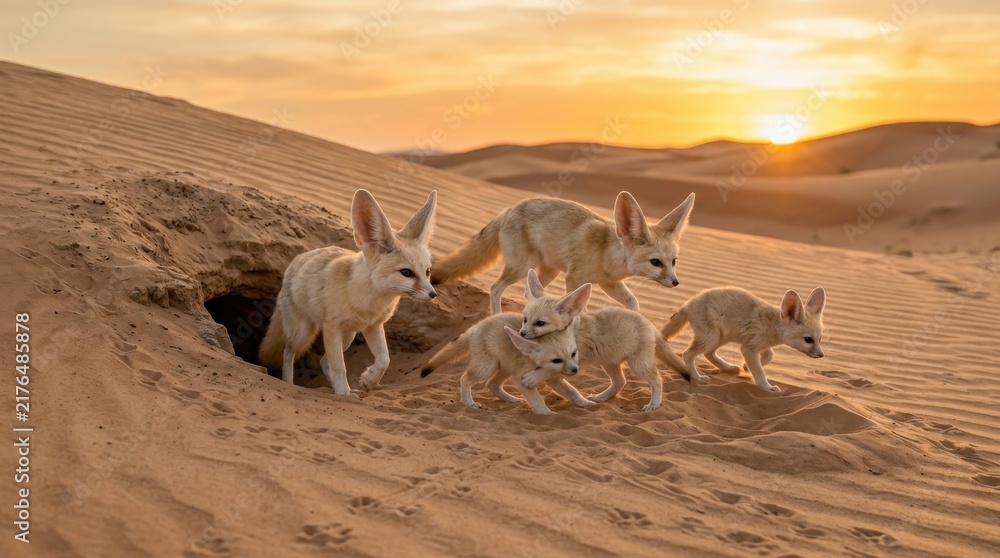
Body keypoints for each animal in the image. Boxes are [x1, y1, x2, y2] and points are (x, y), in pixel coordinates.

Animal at [258, 189, 437, 395]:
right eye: (406, 272)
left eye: (427, 271)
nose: (433, 295)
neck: (369, 301)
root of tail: (296, 260)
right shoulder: (332, 327)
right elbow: (339, 367)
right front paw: (344, 394)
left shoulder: (373, 326)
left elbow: (385, 359)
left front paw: (368, 380)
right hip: (303, 333)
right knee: (288, 353)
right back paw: (290, 382)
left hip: (348, 336)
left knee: (323, 362)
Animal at [419, 285, 594, 415]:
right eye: (556, 360)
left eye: (573, 354)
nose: (575, 370)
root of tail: (474, 328)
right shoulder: (520, 379)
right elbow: (538, 400)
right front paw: (547, 414)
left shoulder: (554, 379)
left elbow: (573, 392)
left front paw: (586, 403)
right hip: (488, 368)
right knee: (465, 378)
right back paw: (469, 403)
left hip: (505, 368)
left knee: (492, 384)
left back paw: (510, 399)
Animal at [431, 191, 695, 313]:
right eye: (656, 262)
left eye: (673, 261)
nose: (676, 282)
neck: (606, 253)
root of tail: (508, 209)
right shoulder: (575, 279)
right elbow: (580, 308)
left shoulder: (609, 283)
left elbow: (633, 302)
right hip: (521, 268)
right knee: (495, 288)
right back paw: (495, 316)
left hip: (547, 272)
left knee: (531, 293)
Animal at [518, 269, 689, 411]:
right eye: (525, 319)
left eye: (540, 323)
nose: (521, 333)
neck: (572, 330)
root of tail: (646, 320)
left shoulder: (575, 358)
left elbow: (548, 370)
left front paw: (534, 377)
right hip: (609, 363)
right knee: (621, 382)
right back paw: (602, 397)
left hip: (638, 365)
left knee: (657, 380)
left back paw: (654, 403)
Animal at [660, 286, 827, 392]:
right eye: (808, 340)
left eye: (819, 339)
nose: (821, 355)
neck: (772, 324)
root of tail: (689, 303)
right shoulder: (748, 348)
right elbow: (759, 371)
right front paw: (766, 387)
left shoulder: (759, 345)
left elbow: (770, 355)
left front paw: (746, 367)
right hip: (711, 337)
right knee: (688, 354)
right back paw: (697, 377)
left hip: (721, 337)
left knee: (709, 354)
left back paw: (729, 368)